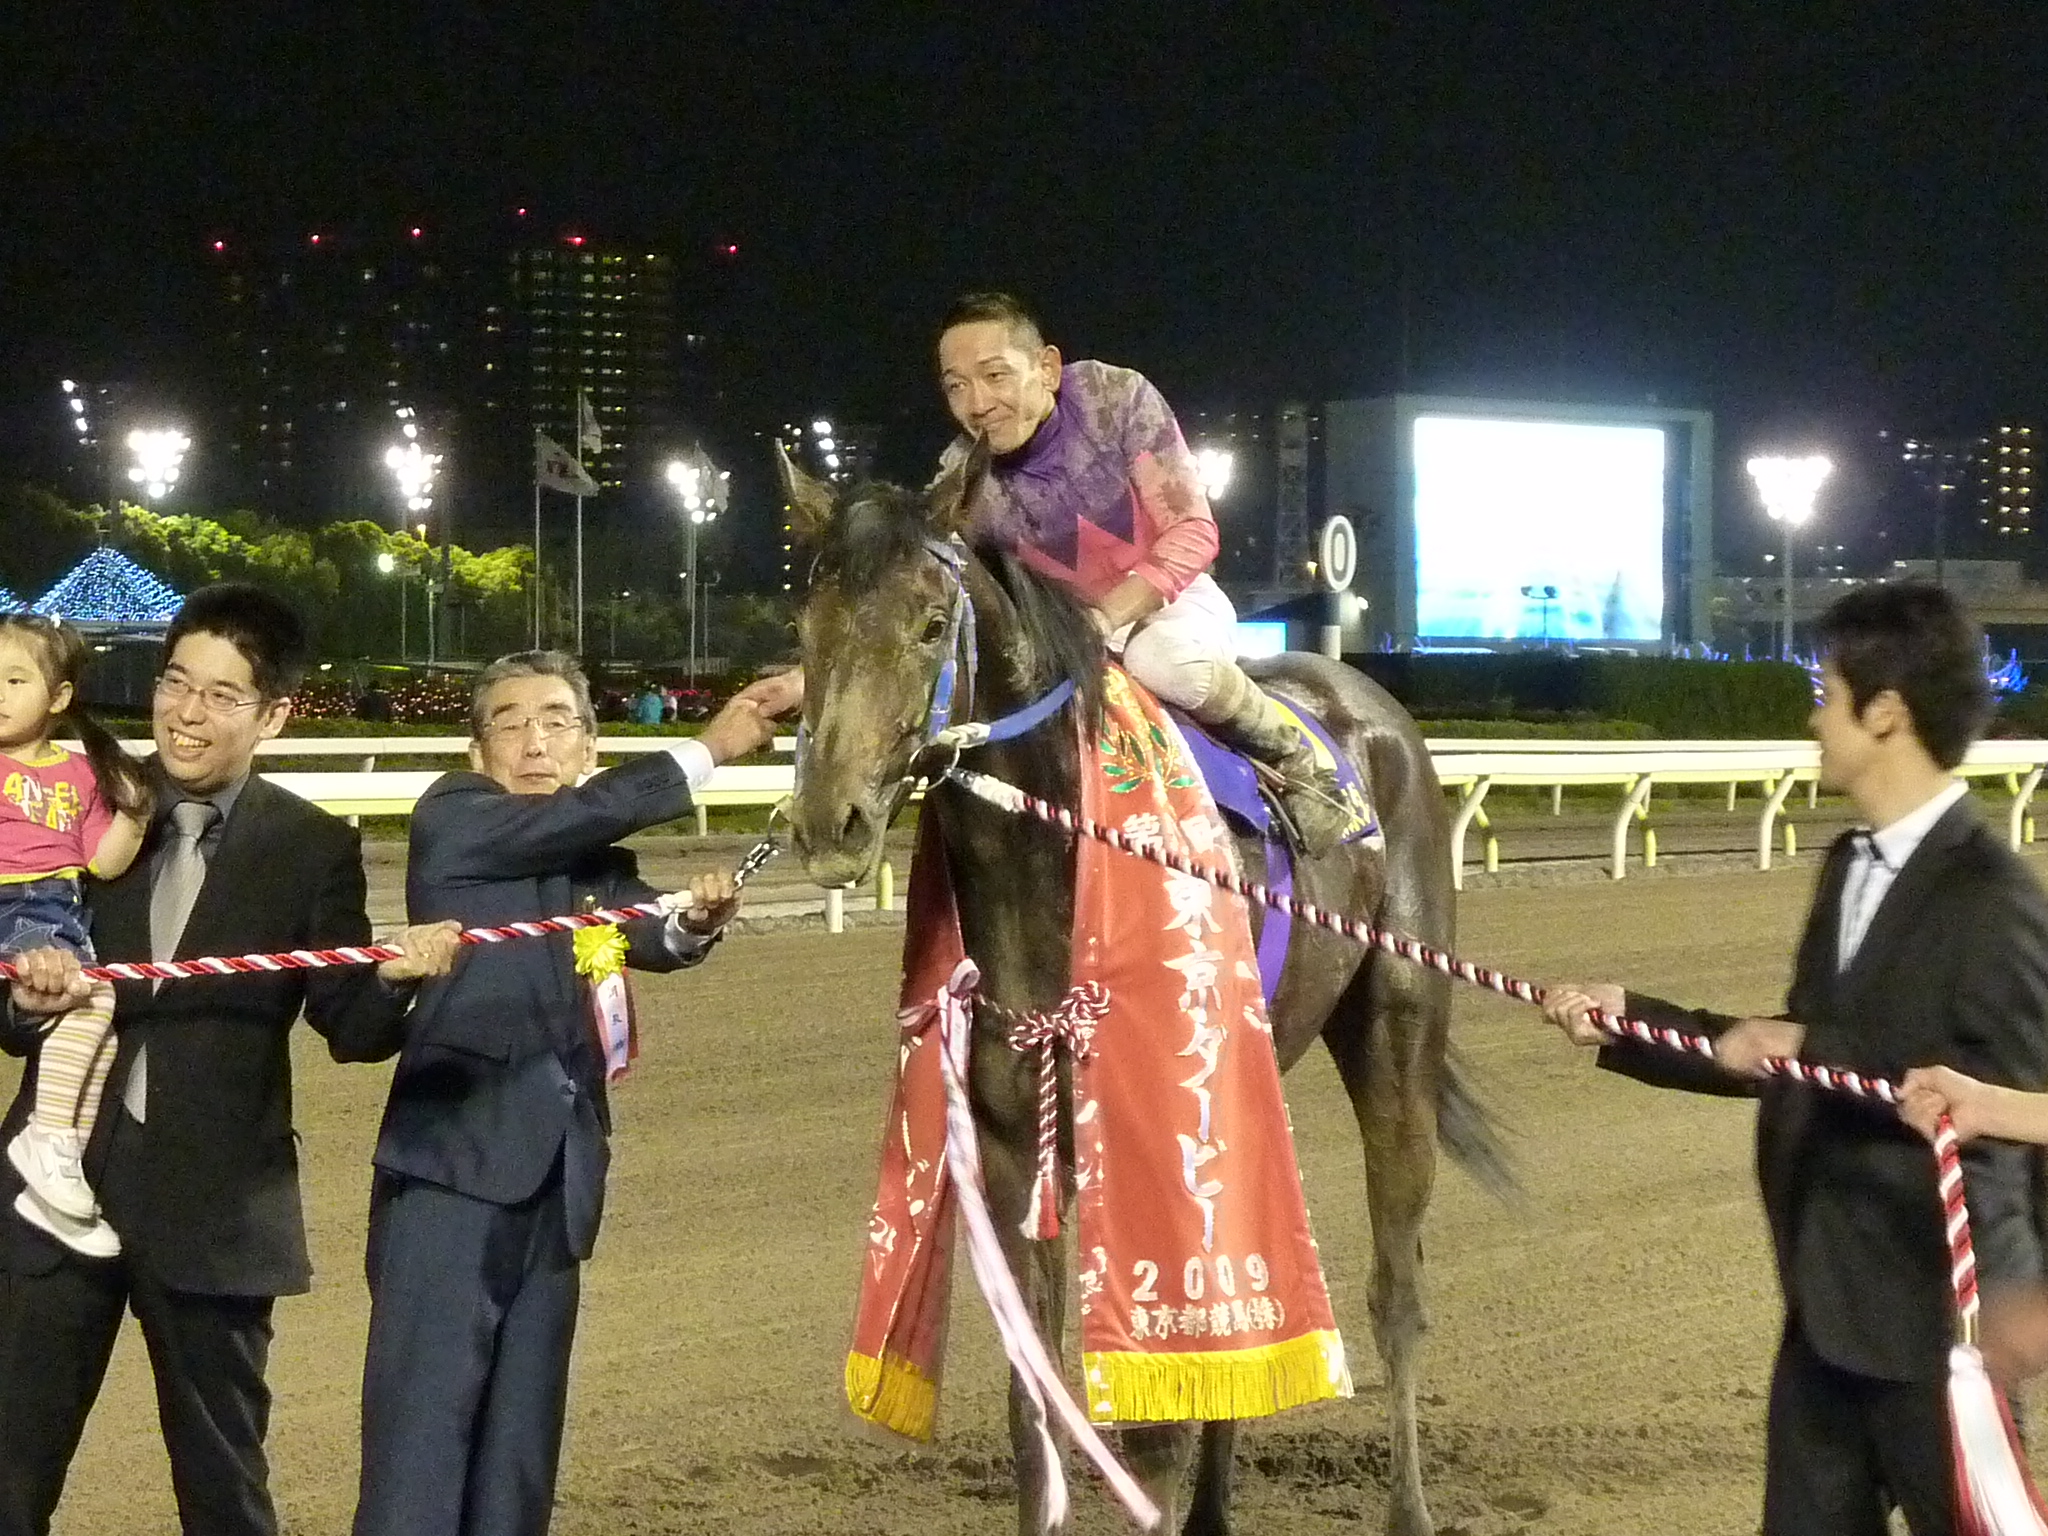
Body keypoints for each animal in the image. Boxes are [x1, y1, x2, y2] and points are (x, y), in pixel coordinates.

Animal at [781, 444, 1511, 1536]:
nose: (831, 822)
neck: (1061, 862)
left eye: (928, 621)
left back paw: (1409, 1509)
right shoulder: (1012, 1138)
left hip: (1396, 1029)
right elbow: (1035, 1402)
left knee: (1396, 1286)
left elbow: (1153, 1427)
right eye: (806, 624)